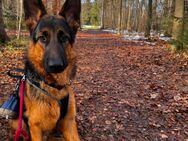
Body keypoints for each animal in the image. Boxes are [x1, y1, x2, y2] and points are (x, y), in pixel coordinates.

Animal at [9, 0, 81, 140]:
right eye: (43, 38)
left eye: (64, 38)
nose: (56, 66)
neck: (54, 87)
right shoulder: (35, 127)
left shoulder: (69, 123)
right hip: (18, 122)